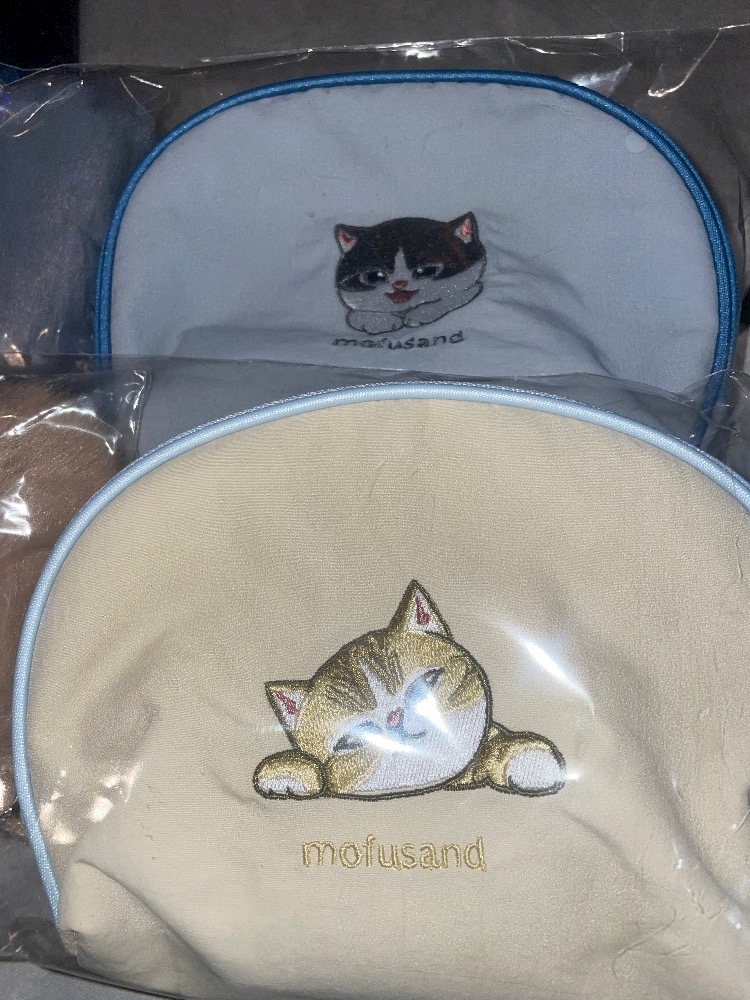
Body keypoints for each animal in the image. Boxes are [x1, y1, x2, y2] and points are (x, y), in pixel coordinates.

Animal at [334, 215, 486, 335]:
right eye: (375, 276)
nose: (399, 283)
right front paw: (377, 322)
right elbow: (356, 313)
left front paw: (421, 313)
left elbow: (454, 297)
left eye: (425, 271)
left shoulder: (471, 288)